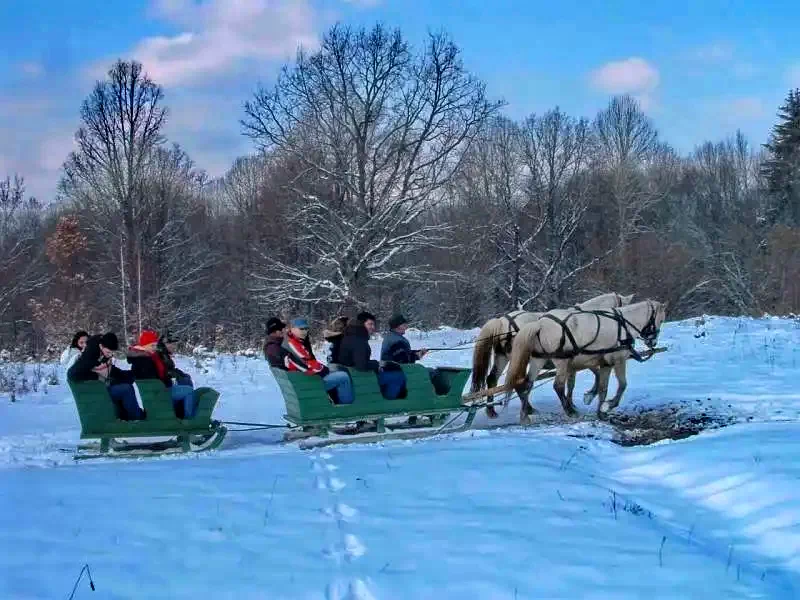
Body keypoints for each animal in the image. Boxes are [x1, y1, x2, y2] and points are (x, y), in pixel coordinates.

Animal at [468, 292, 632, 418]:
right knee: (517, 382)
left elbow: (572, 383)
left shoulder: (574, 362)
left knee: (493, 379)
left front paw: (572, 402)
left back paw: (492, 410)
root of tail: (502, 321)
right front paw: (586, 397)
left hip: (502, 356)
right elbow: (592, 376)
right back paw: (527, 408)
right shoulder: (581, 358)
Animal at [506, 298, 668, 422]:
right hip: (562, 361)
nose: (653, 342)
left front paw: (600, 411)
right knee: (557, 386)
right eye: (660, 320)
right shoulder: (618, 360)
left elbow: (602, 388)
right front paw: (609, 405)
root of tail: (539, 324)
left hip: (538, 360)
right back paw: (569, 411)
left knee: (527, 384)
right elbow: (622, 385)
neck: (623, 325)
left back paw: (525, 414)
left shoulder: (604, 363)